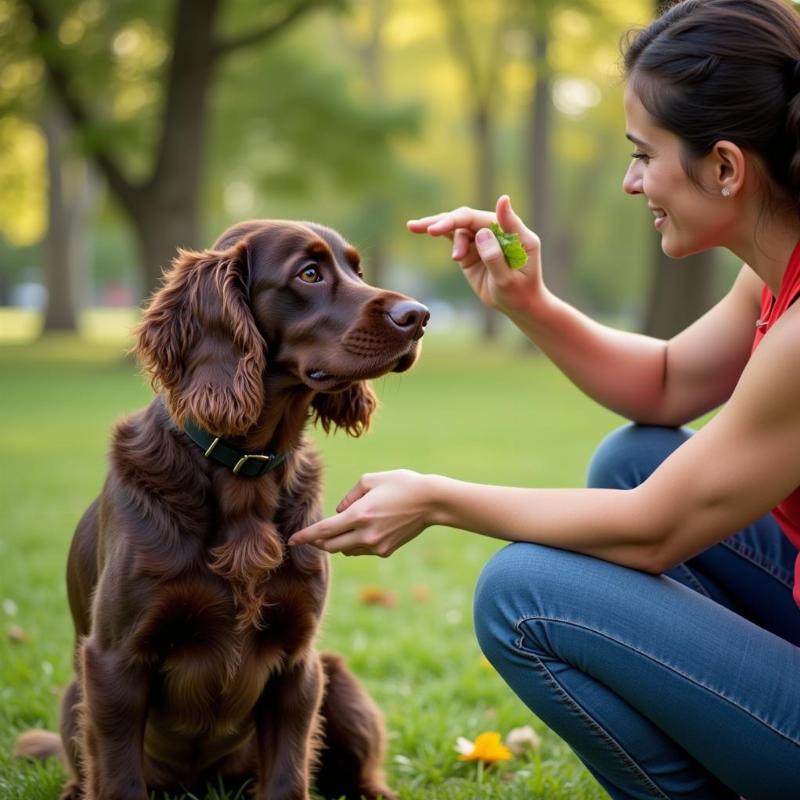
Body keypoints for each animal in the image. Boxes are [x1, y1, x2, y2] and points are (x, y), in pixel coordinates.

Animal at [15, 220, 428, 800]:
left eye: (357, 270)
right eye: (309, 273)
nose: (418, 316)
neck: (242, 472)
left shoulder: (297, 664)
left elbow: (288, 779)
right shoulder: (114, 662)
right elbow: (118, 778)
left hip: (337, 679)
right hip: (77, 693)